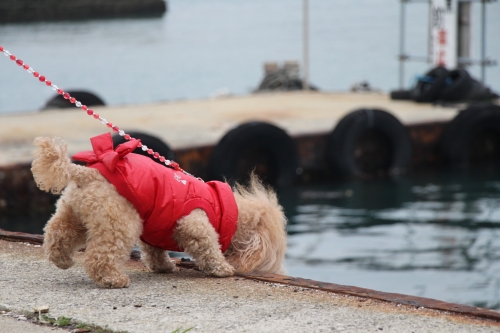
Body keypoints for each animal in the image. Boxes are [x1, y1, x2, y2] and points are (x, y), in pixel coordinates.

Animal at [33, 136, 288, 286]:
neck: (223, 207)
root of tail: (86, 174)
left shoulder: (154, 230)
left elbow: (154, 252)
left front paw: (163, 267)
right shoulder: (193, 223)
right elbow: (208, 246)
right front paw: (222, 269)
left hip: (73, 213)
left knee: (57, 233)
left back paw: (62, 259)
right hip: (119, 222)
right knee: (100, 256)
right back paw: (113, 278)